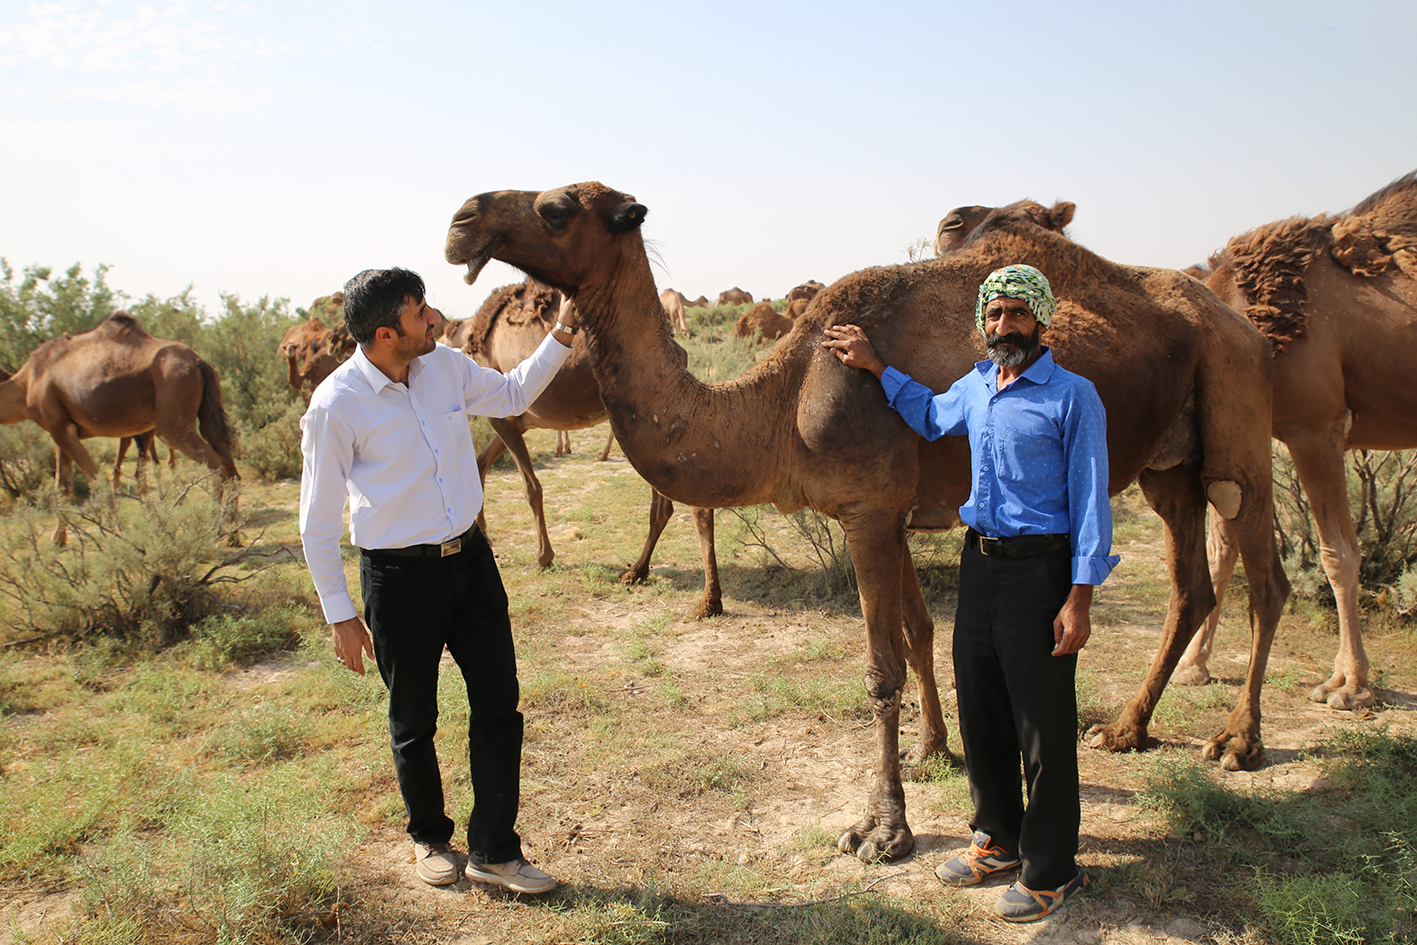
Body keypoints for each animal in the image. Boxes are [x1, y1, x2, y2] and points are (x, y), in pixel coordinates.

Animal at [0, 314, 240, 544]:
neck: (26, 384)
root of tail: (200, 363)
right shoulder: (59, 429)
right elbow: (62, 487)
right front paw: (58, 541)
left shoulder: (60, 428)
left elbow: (97, 481)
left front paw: (119, 533)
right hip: (207, 411)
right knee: (229, 463)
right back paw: (233, 534)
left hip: (173, 415)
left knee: (217, 464)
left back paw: (212, 530)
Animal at [464, 274, 725, 620]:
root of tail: (677, 352)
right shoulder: (517, 420)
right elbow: (480, 463)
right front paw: (485, 537)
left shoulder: (503, 416)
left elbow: (531, 488)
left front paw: (544, 556)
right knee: (665, 506)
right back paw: (638, 570)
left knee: (693, 502)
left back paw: (706, 599)